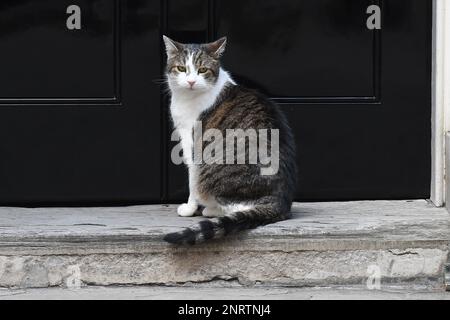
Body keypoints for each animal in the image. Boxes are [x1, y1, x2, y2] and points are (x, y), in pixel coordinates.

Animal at [163, 35, 298, 245]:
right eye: (182, 68)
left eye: (202, 70)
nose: (191, 81)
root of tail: (280, 201)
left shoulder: (192, 145)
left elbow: (192, 181)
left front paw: (189, 208)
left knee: (238, 206)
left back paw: (211, 210)